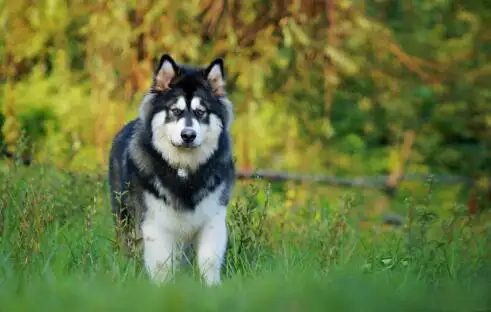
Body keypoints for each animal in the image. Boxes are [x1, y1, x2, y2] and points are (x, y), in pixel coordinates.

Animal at [107, 53, 236, 286]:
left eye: (200, 112)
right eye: (175, 111)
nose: (188, 135)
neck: (184, 170)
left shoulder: (213, 218)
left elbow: (209, 260)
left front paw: (211, 286)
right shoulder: (154, 223)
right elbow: (161, 265)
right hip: (124, 216)